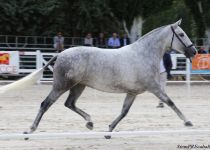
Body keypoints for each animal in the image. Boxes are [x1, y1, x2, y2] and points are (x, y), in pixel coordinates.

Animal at [25, 19, 197, 136]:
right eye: (181, 34)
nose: (194, 51)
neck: (143, 55)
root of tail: (60, 54)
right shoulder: (154, 87)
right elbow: (170, 102)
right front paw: (188, 122)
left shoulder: (132, 92)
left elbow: (124, 112)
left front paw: (109, 129)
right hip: (62, 85)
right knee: (46, 104)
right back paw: (31, 129)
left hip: (78, 86)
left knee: (70, 104)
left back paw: (90, 122)